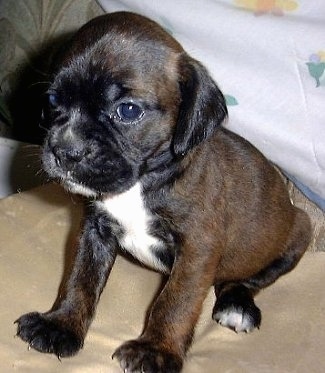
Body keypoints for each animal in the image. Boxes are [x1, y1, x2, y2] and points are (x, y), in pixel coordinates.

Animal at [15, 11, 312, 372]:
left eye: (128, 110)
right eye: (53, 101)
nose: (65, 151)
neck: (141, 184)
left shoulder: (196, 249)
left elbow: (175, 302)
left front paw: (155, 349)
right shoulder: (94, 230)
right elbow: (79, 279)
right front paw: (60, 324)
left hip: (299, 230)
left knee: (246, 279)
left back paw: (237, 306)